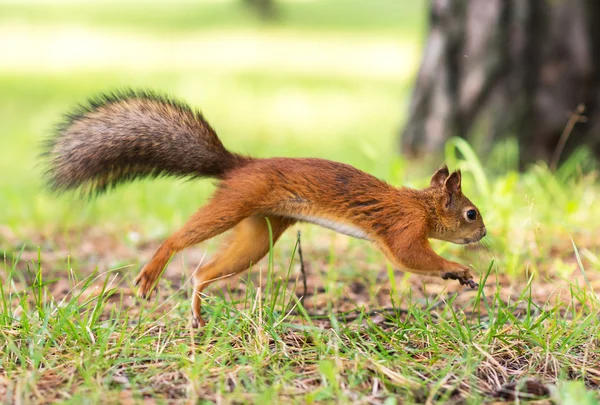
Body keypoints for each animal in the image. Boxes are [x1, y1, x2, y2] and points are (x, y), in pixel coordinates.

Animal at [45, 89, 488, 326]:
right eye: (471, 213)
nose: (484, 233)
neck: (422, 206)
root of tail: (239, 164)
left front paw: (460, 275)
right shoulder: (402, 229)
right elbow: (411, 257)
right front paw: (459, 269)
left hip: (260, 232)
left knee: (203, 273)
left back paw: (197, 313)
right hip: (234, 203)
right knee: (179, 239)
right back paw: (154, 271)